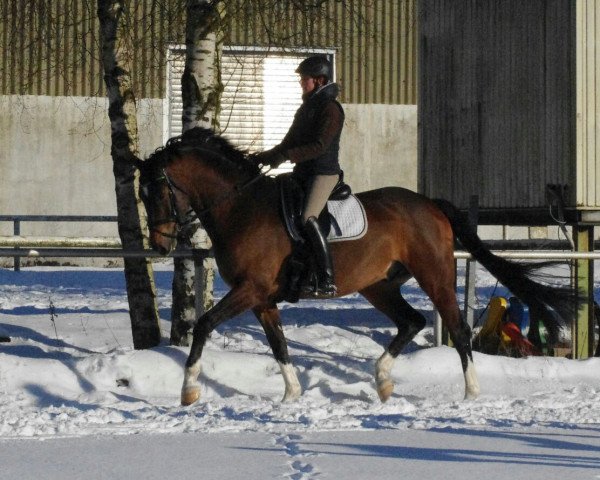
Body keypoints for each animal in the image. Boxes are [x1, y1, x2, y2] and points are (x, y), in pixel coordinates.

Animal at [136, 127, 576, 404]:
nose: (159, 245)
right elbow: (279, 345)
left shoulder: (251, 290)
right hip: (378, 285)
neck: (240, 206)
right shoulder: (262, 299)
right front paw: (291, 395)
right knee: (412, 321)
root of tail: (431, 205)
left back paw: (470, 394)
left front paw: (188, 390)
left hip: (434, 276)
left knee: (458, 329)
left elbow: (204, 325)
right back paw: (382, 381)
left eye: (157, 190)